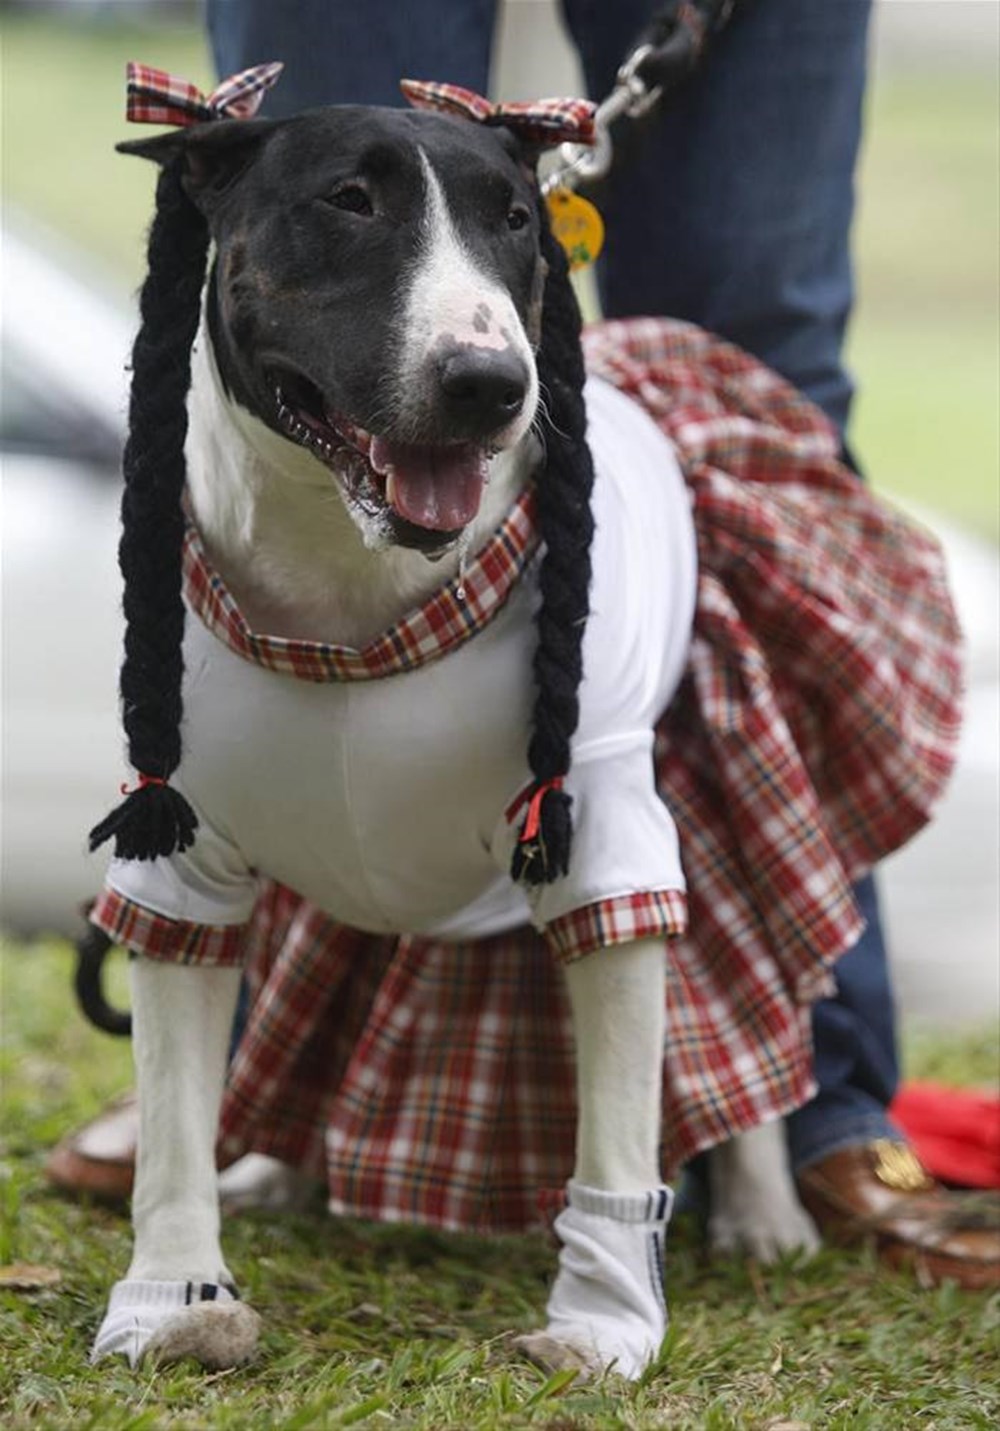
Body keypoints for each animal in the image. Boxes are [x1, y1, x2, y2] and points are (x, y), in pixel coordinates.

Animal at [84, 83, 835, 1379]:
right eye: (347, 199)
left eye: (518, 220)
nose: (490, 382)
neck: (353, 591)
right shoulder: (181, 849)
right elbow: (177, 1111)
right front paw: (169, 1297)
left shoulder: (600, 830)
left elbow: (618, 1125)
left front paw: (602, 1322)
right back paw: (279, 1168)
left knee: (749, 1003)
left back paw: (765, 1213)